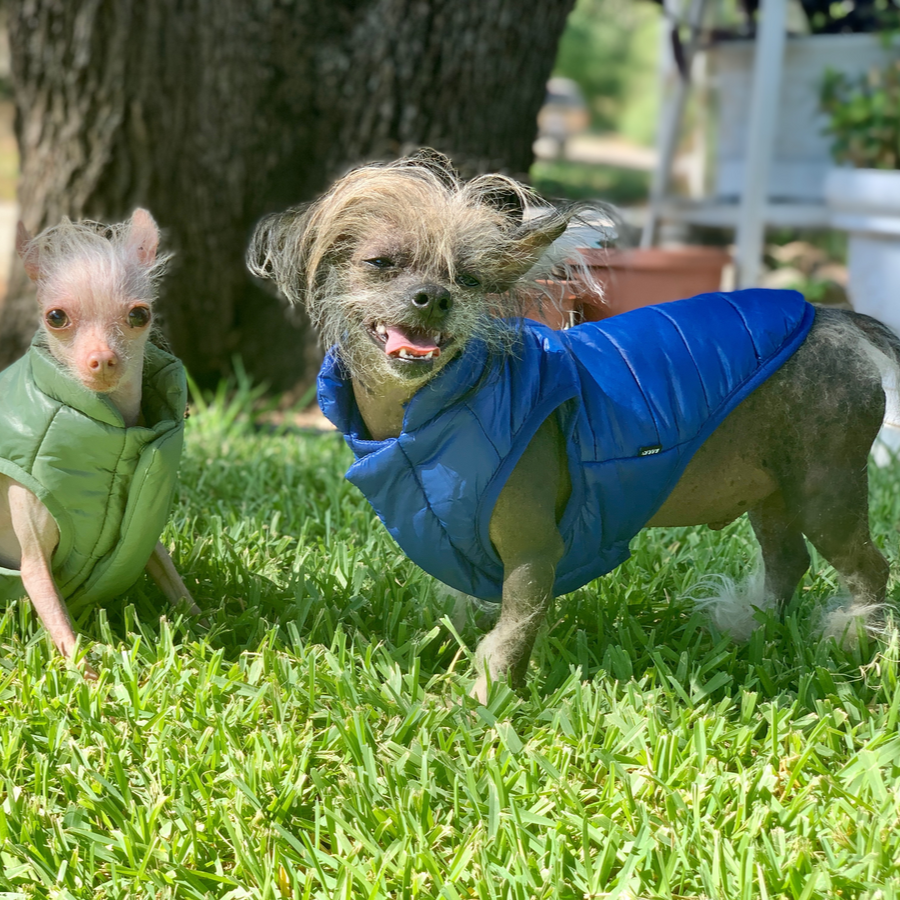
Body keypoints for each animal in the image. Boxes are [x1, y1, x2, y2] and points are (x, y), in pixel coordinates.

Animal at [0, 211, 199, 676]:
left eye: (139, 315)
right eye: (56, 317)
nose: (103, 358)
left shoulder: (140, 537)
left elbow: (173, 580)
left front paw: (211, 626)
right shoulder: (32, 564)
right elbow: (59, 620)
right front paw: (88, 678)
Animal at [250, 151, 900, 704]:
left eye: (469, 279)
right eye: (380, 263)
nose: (432, 297)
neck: (429, 417)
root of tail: (833, 317)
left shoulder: (536, 553)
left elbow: (514, 629)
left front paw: (485, 702)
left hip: (825, 490)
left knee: (869, 568)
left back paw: (855, 642)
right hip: (772, 491)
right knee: (788, 562)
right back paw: (747, 626)